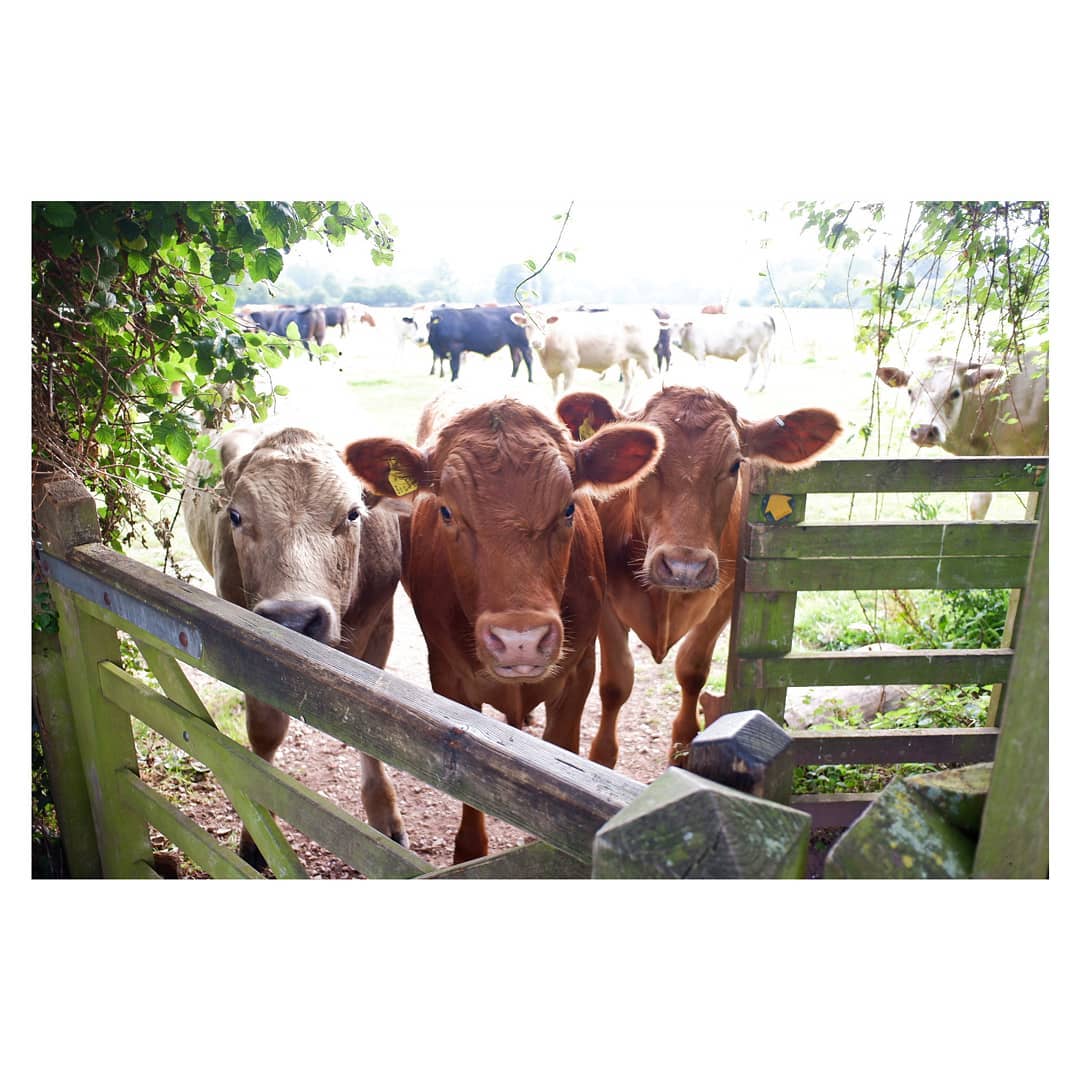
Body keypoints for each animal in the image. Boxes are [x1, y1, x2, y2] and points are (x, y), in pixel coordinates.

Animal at [182, 425, 407, 869]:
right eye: (236, 516)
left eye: (353, 513)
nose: (295, 618)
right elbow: (266, 732)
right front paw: (258, 834)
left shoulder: (381, 626)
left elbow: (371, 732)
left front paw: (384, 816)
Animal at [344, 393, 664, 863]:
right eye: (446, 511)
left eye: (569, 507)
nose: (520, 641)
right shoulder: (448, 676)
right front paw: (469, 848)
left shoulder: (578, 672)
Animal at [528, 307, 665, 408]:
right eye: (528, 326)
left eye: (544, 325)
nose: (536, 343)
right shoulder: (553, 369)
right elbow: (555, 390)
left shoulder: (570, 364)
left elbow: (566, 389)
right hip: (625, 359)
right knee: (629, 381)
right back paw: (622, 407)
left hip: (644, 356)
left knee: (653, 377)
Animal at [555, 386, 842, 766]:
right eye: (651, 462)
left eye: (736, 464)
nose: (684, 567)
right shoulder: (606, 605)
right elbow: (616, 683)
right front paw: (601, 756)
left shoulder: (724, 597)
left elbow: (692, 671)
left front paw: (682, 748)